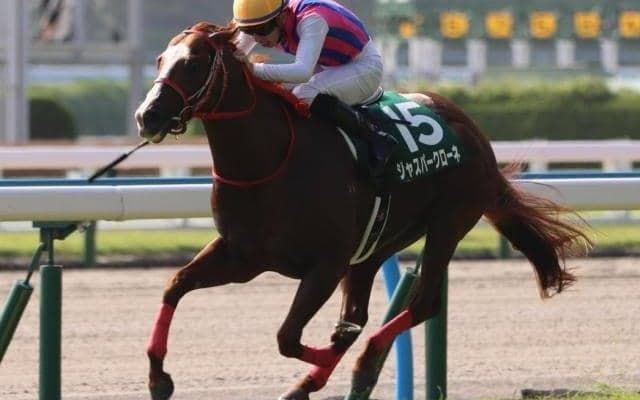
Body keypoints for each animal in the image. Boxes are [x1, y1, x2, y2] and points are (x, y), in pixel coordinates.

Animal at [135, 22, 591, 400]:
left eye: (193, 63)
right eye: (159, 60)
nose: (147, 116)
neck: (270, 160)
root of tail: (475, 134)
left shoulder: (326, 264)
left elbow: (289, 337)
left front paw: (321, 369)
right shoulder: (242, 256)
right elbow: (175, 285)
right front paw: (158, 379)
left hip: (448, 223)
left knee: (421, 306)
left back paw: (361, 362)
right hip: (376, 244)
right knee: (363, 311)